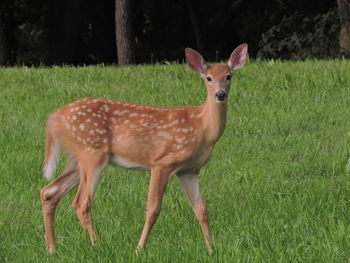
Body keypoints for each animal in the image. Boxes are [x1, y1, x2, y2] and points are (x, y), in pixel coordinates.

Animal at [40, 43, 249, 256]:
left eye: (228, 76)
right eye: (208, 78)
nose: (220, 94)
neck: (202, 127)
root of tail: (54, 118)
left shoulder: (189, 170)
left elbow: (201, 210)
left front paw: (211, 249)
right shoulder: (162, 163)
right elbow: (153, 209)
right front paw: (139, 249)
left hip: (78, 159)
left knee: (49, 192)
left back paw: (52, 249)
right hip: (92, 153)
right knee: (81, 203)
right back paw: (97, 245)